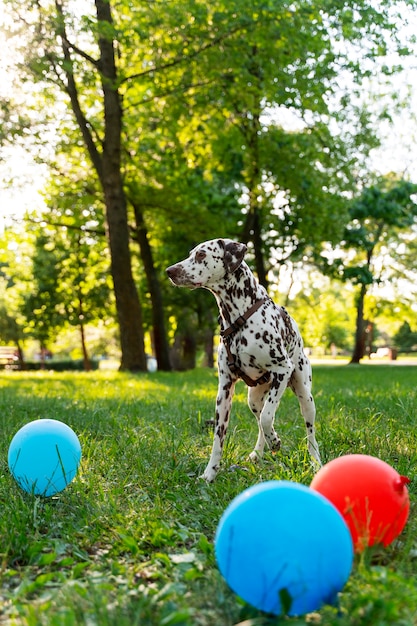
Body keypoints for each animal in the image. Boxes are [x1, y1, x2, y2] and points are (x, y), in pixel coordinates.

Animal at [164, 236, 320, 480]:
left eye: (201, 254)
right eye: (191, 254)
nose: (170, 271)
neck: (238, 319)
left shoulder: (282, 369)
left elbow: (268, 418)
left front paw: (276, 441)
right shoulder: (224, 389)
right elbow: (219, 438)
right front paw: (210, 473)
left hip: (305, 395)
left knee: (308, 433)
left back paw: (315, 462)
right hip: (253, 399)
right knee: (260, 422)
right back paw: (258, 452)